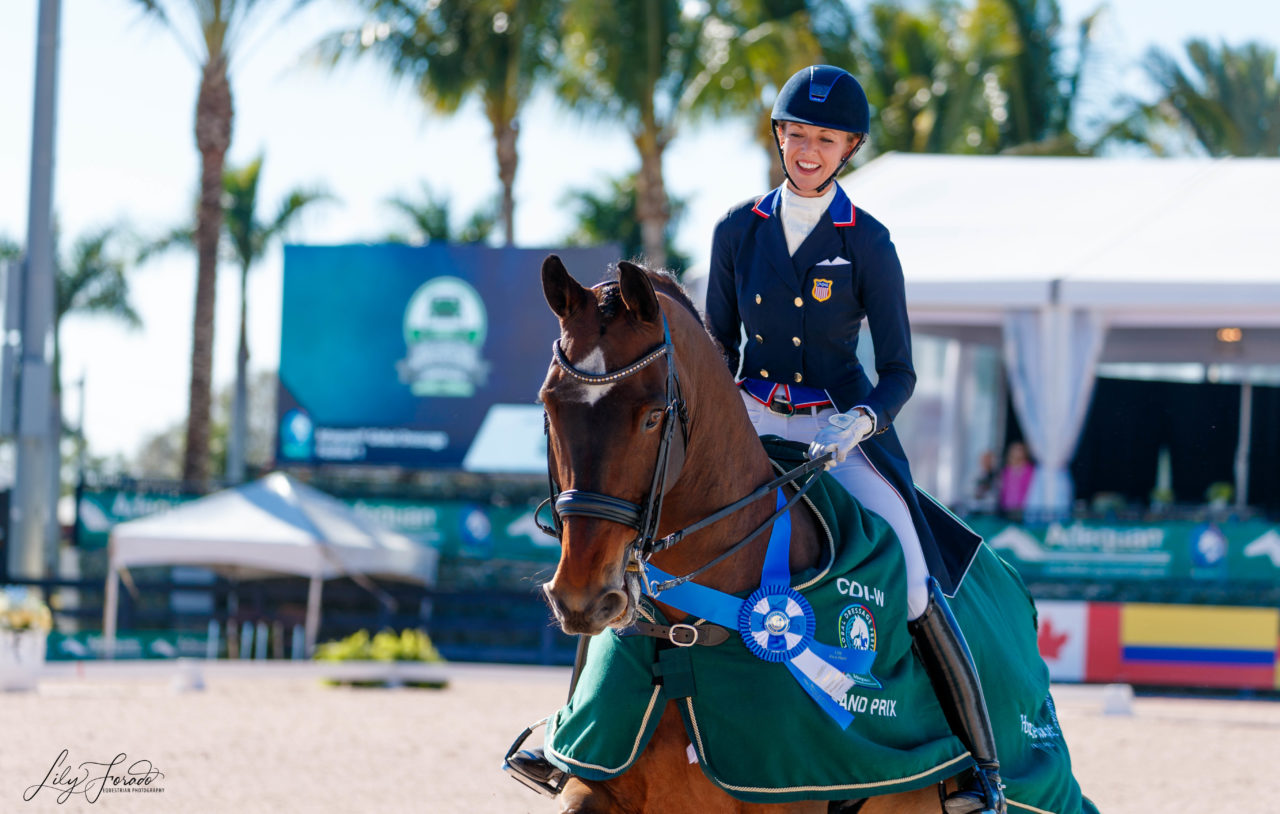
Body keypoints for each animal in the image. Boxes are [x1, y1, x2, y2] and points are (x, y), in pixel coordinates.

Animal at [537, 255, 962, 814]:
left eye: (653, 417)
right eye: (549, 407)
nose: (581, 598)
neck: (685, 635)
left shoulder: (794, 783)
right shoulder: (600, 774)